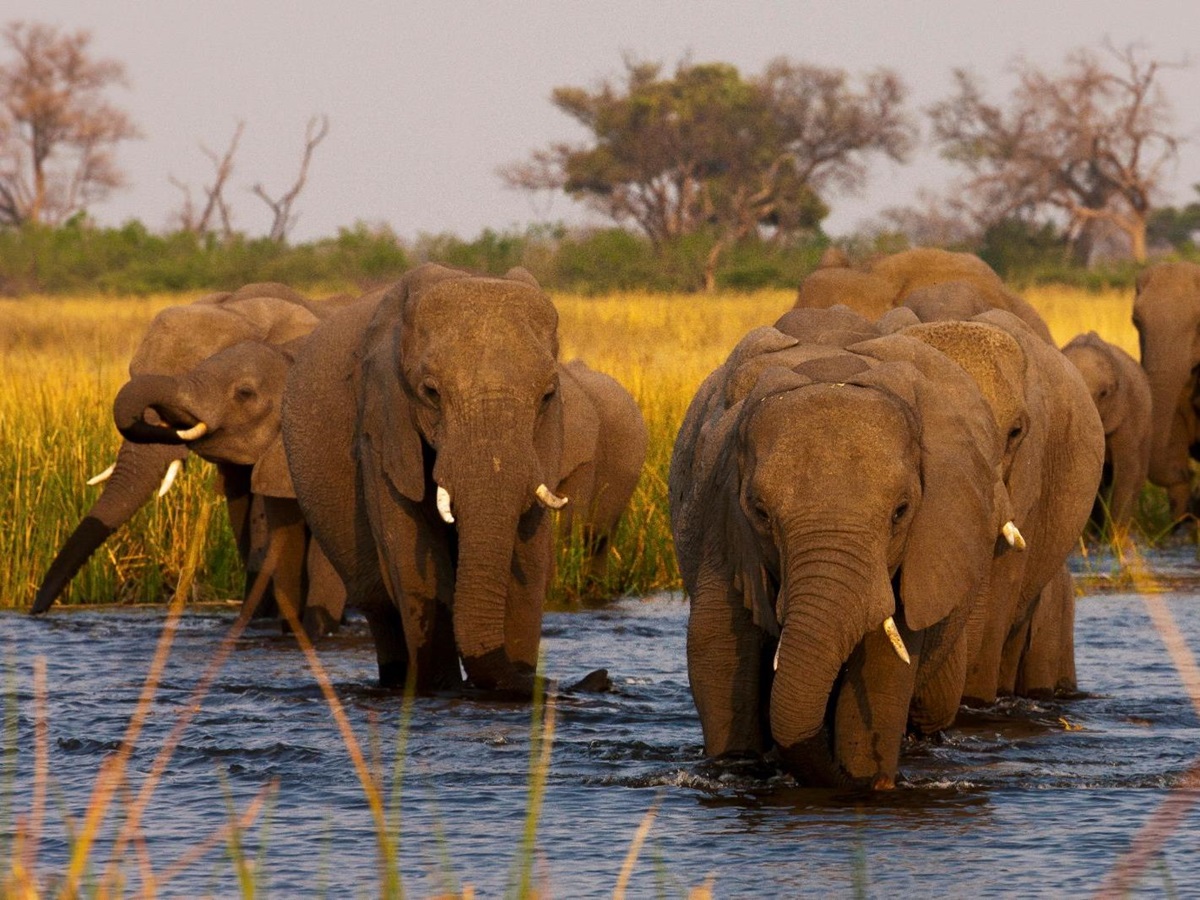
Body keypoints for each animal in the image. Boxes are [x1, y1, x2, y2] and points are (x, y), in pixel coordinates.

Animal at [280, 263, 610, 695]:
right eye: (431, 393)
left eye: (547, 396)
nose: (602, 676)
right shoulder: (381, 423)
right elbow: (412, 554)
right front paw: (442, 690)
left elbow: (529, 556)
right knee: (380, 609)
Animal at [670, 306, 1020, 788]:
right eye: (760, 513)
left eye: (900, 512)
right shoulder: (722, 523)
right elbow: (715, 650)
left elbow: (884, 669)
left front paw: (866, 782)